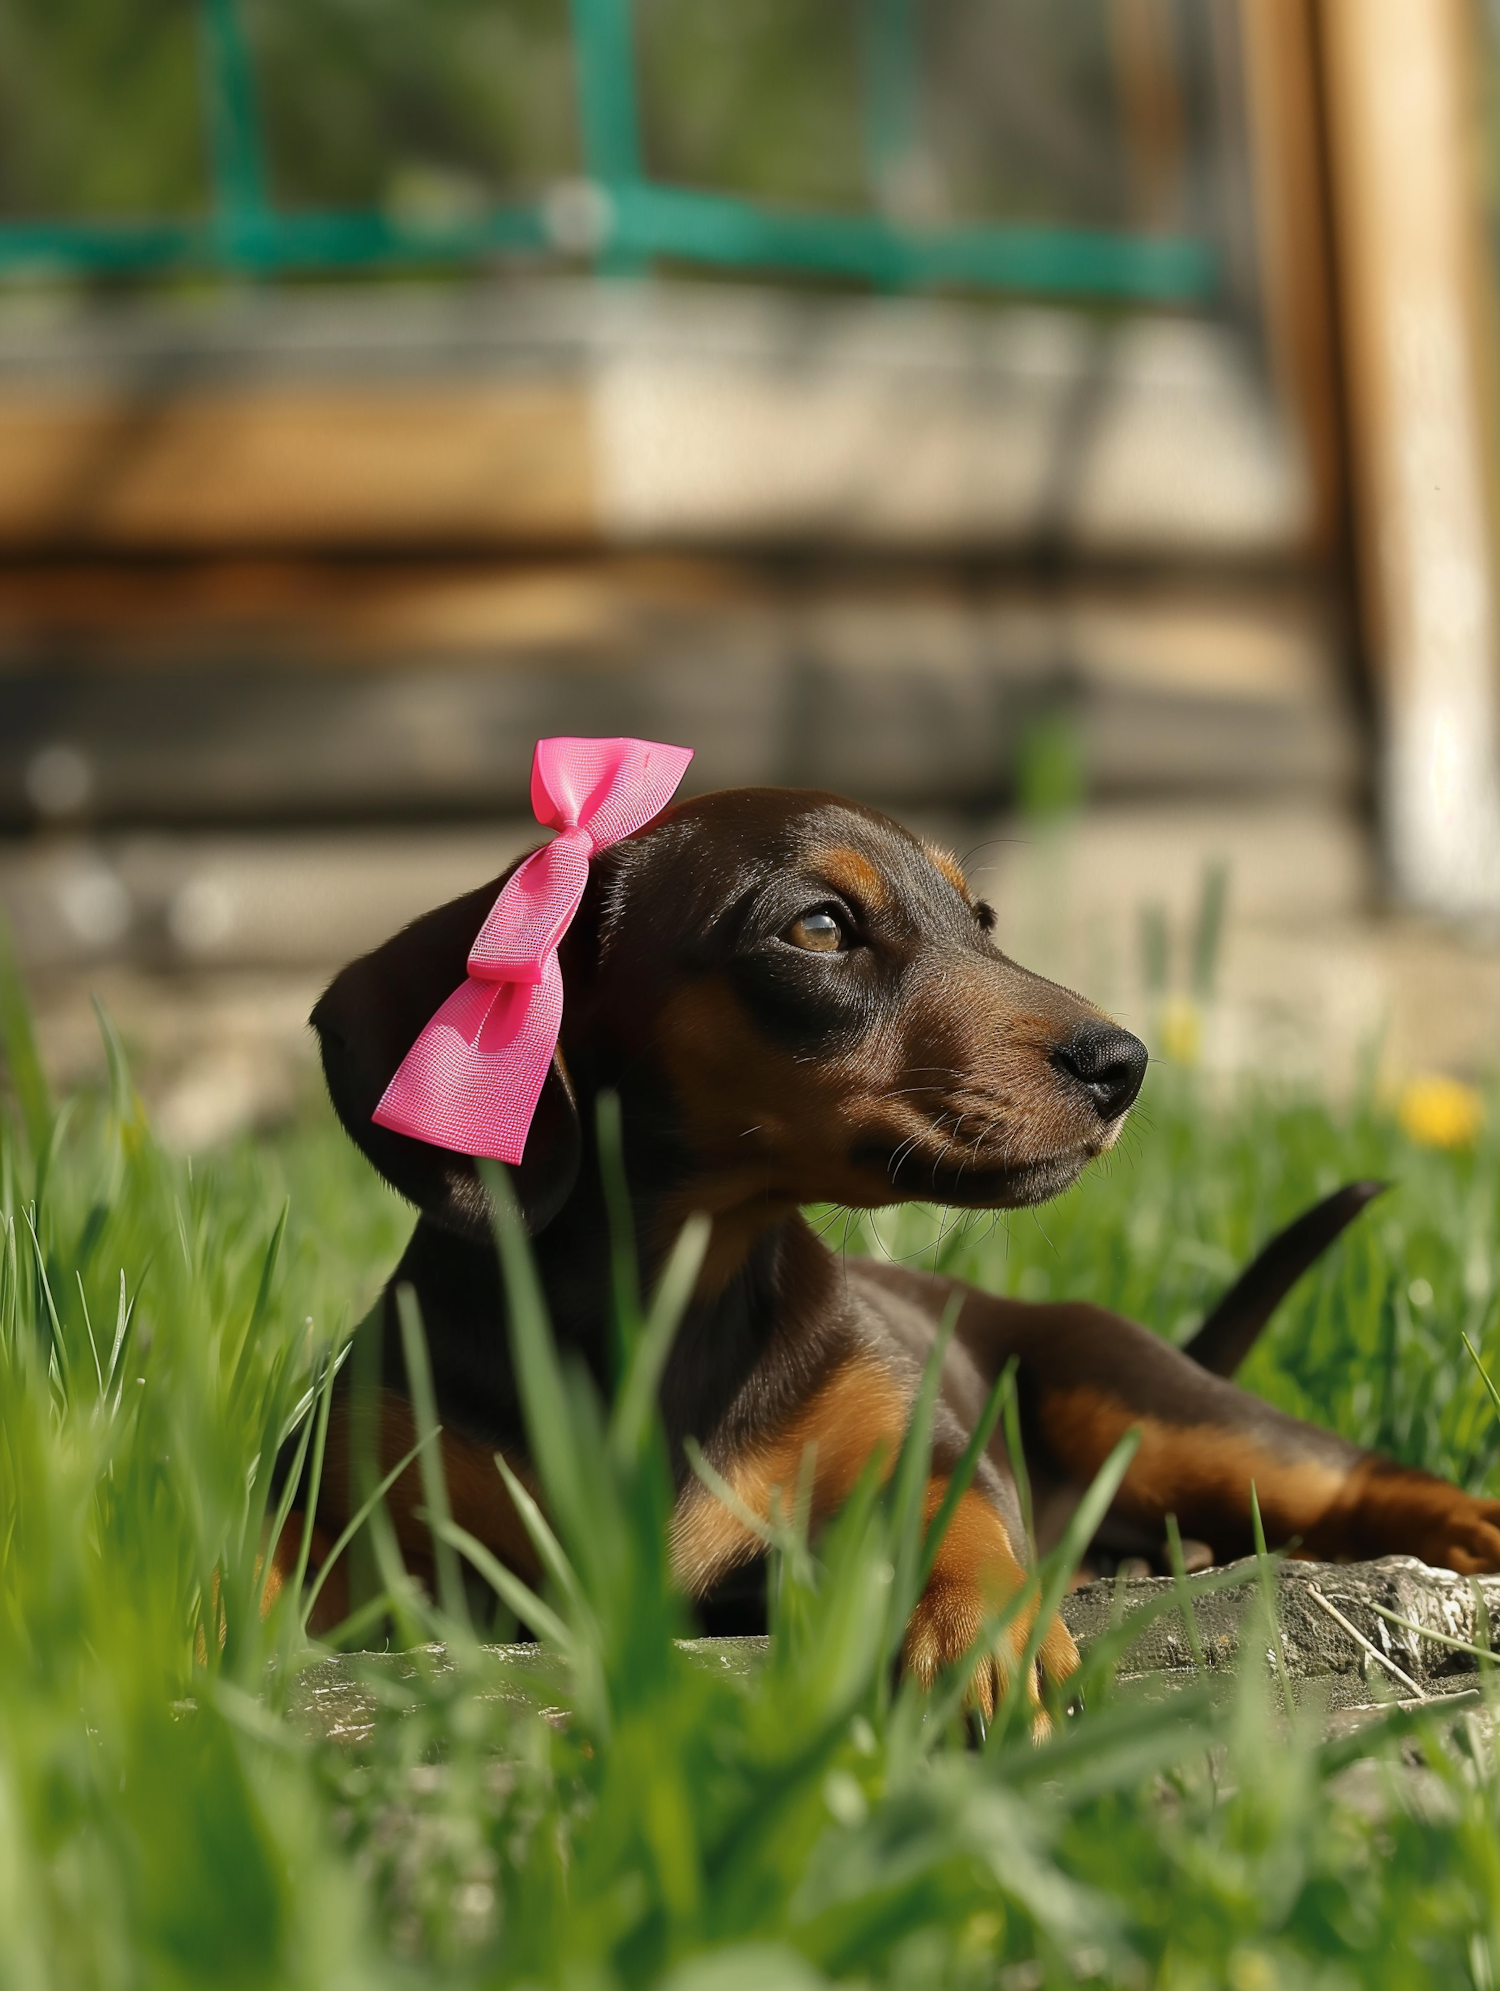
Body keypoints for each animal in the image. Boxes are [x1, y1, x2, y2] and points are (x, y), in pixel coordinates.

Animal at [300, 784, 1498, 1720]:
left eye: (982, 917)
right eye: (820, 927)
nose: (1125, 1062)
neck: (679, 1297)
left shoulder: (913, 1439)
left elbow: (957, 1513)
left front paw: (985, 1629)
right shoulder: (346, 1500)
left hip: (1140, 1397)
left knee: (1347, 1475)